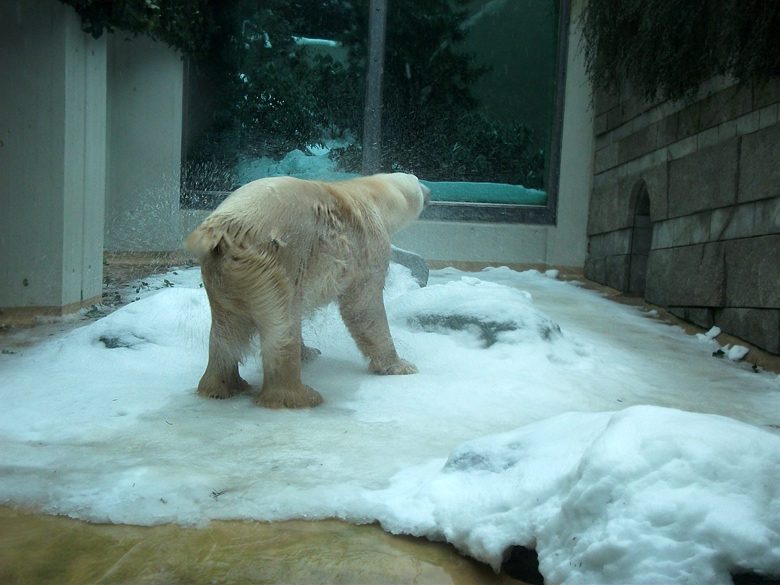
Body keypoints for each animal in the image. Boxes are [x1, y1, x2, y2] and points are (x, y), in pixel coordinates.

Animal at [187, 173, 432, 408]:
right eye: (418, 181)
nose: (429, 191)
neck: (370, 192)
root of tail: (224, 230)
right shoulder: (368, 245)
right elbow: (363, 306)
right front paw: (400, 365)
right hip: (274, 263)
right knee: (282, 325)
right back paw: (300, 396)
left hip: (222, 275)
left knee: (225, 328)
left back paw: (221, 386)